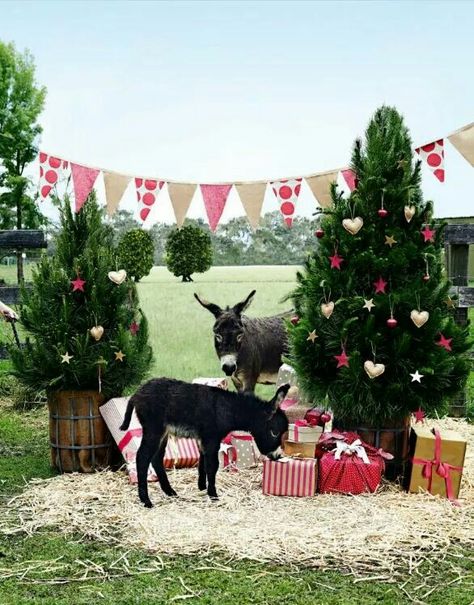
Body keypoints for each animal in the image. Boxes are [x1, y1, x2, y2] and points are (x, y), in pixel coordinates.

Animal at [119, 378, 288, 504]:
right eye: (274, 432)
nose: (278, 456)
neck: (227, 409)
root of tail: (136, 394)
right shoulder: (212, 438)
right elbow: (212, 466)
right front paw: (213, 494)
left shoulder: (203, 439)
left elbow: (203, 463)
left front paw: (202, 487)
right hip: (154, 429)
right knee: (142, 458)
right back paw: (146, 500)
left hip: (163, 433)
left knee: (156, 459)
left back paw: (170, 492)